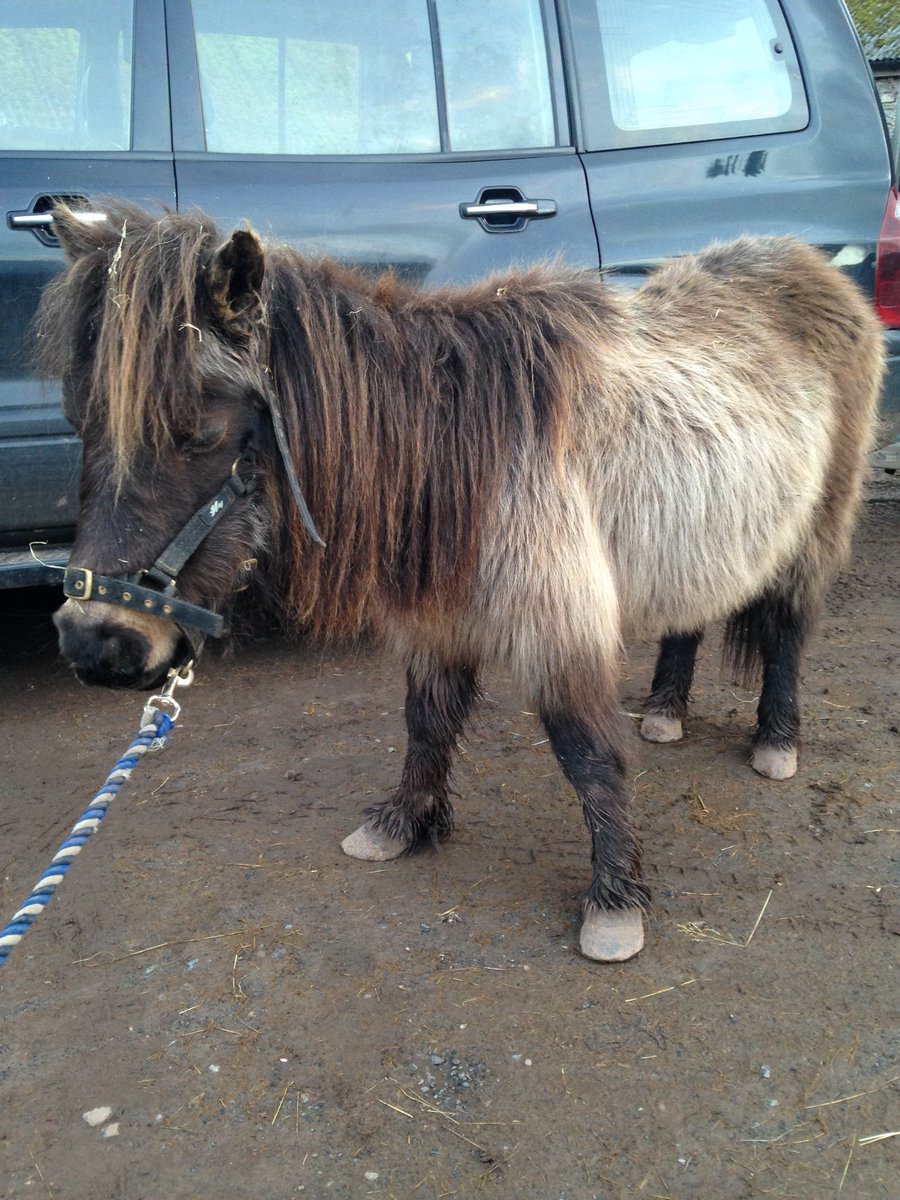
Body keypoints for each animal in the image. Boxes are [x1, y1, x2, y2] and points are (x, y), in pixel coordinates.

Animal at [38, 199, 883, 962]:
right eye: (80, 423)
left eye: (201, 432)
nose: (93, 643)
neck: (454, 447)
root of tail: (814, 268)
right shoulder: (438, 617)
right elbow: (427, 721)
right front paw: (402, 825)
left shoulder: (557, 622)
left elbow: (586, 752)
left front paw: (614, 904)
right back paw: (667, 712)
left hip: (815, 529)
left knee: (788, 632)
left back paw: (776, 741)